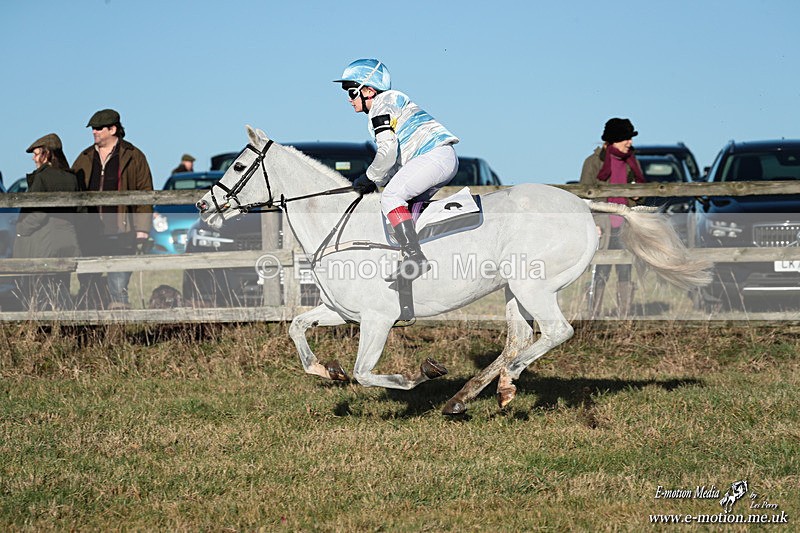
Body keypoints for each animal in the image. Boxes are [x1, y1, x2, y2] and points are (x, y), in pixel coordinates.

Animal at [196, 126, 712, 415]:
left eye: (239, 166)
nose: (204, 205)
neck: (338, 224)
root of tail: (583, 204)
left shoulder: (378, 320)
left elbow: (366, 372)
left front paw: (416, 377)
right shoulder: (341, 312)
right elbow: (298, 329)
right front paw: (328, 371)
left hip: (533, 285)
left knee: (554, 333)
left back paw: (504, 383)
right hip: (514, 288)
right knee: (519, 339)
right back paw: (468, 397)